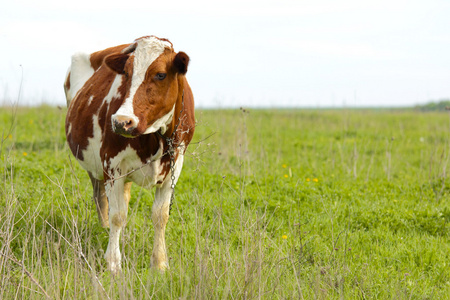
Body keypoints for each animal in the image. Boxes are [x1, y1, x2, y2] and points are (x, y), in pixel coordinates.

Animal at [63, 35, 195, 274]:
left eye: (160, 74)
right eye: (125, 72)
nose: (121, 121)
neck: (154, 136)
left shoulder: (175, 164)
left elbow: (161, 215)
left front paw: (159, 263)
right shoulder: (111, 164)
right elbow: (117, 215)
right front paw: (113, 263)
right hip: (95, 167)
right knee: (102, 200)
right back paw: (104, 229)